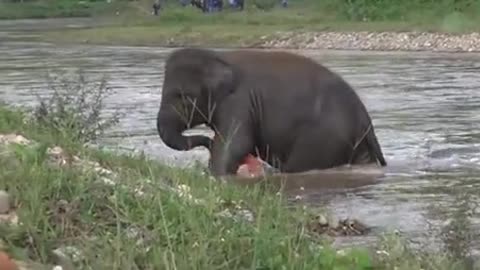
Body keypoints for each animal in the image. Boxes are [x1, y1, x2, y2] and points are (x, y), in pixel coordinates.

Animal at [156, 47, 388, 177]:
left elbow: (237, 143)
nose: (208, 141)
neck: (218, 58)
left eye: (183, 97)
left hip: (323, 139)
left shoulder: (239, 102)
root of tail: (365, 119)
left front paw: (216, 175)